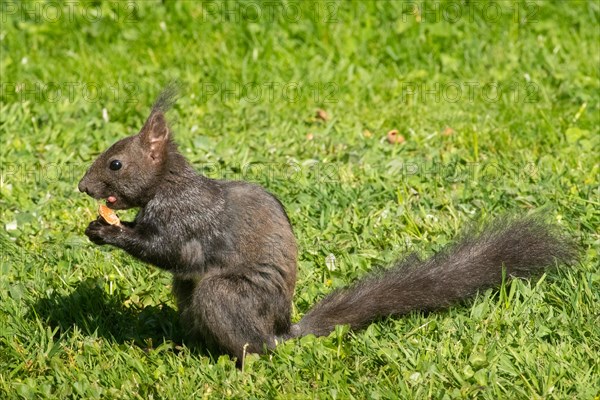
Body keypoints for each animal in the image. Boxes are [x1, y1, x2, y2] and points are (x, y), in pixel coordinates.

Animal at [78, 87, 576, 362]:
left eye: (116, 163)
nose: (83, 187)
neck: (168, 185)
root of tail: (282, 331)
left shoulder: (189, 220)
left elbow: (168, 250)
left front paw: (108, 232)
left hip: (230, 297)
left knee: (246, 336)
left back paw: (241, 364)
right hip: (191, 295)